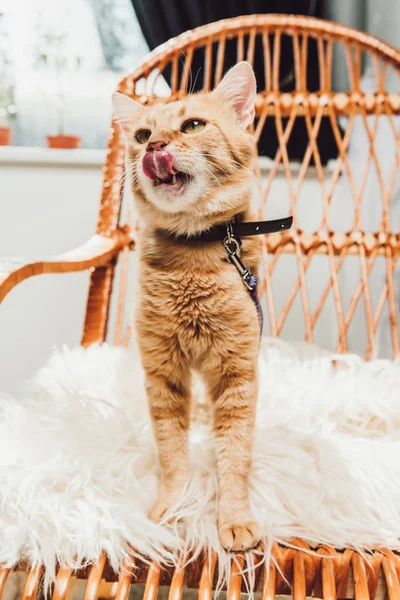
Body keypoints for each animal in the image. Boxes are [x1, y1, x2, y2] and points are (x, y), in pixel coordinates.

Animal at [114, 63, 260, 552]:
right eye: (142, 134)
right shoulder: (163, 374)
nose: (155, 147)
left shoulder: (238, 374)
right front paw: (172, 507)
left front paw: (233, 519)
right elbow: (172, 452)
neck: (191, 259)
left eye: (193, 126)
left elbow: (235, 455)